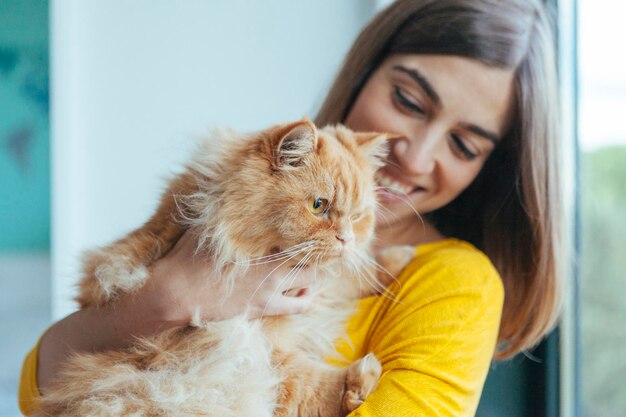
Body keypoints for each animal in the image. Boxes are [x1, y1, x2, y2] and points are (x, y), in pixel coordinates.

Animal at [36, 119, 412, 416]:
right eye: (318, 206)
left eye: (358, 216)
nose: (347, 238)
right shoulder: (249, 345)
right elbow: (318, 387)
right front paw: (363, 381)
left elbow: (350, 276)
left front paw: (400, 260)